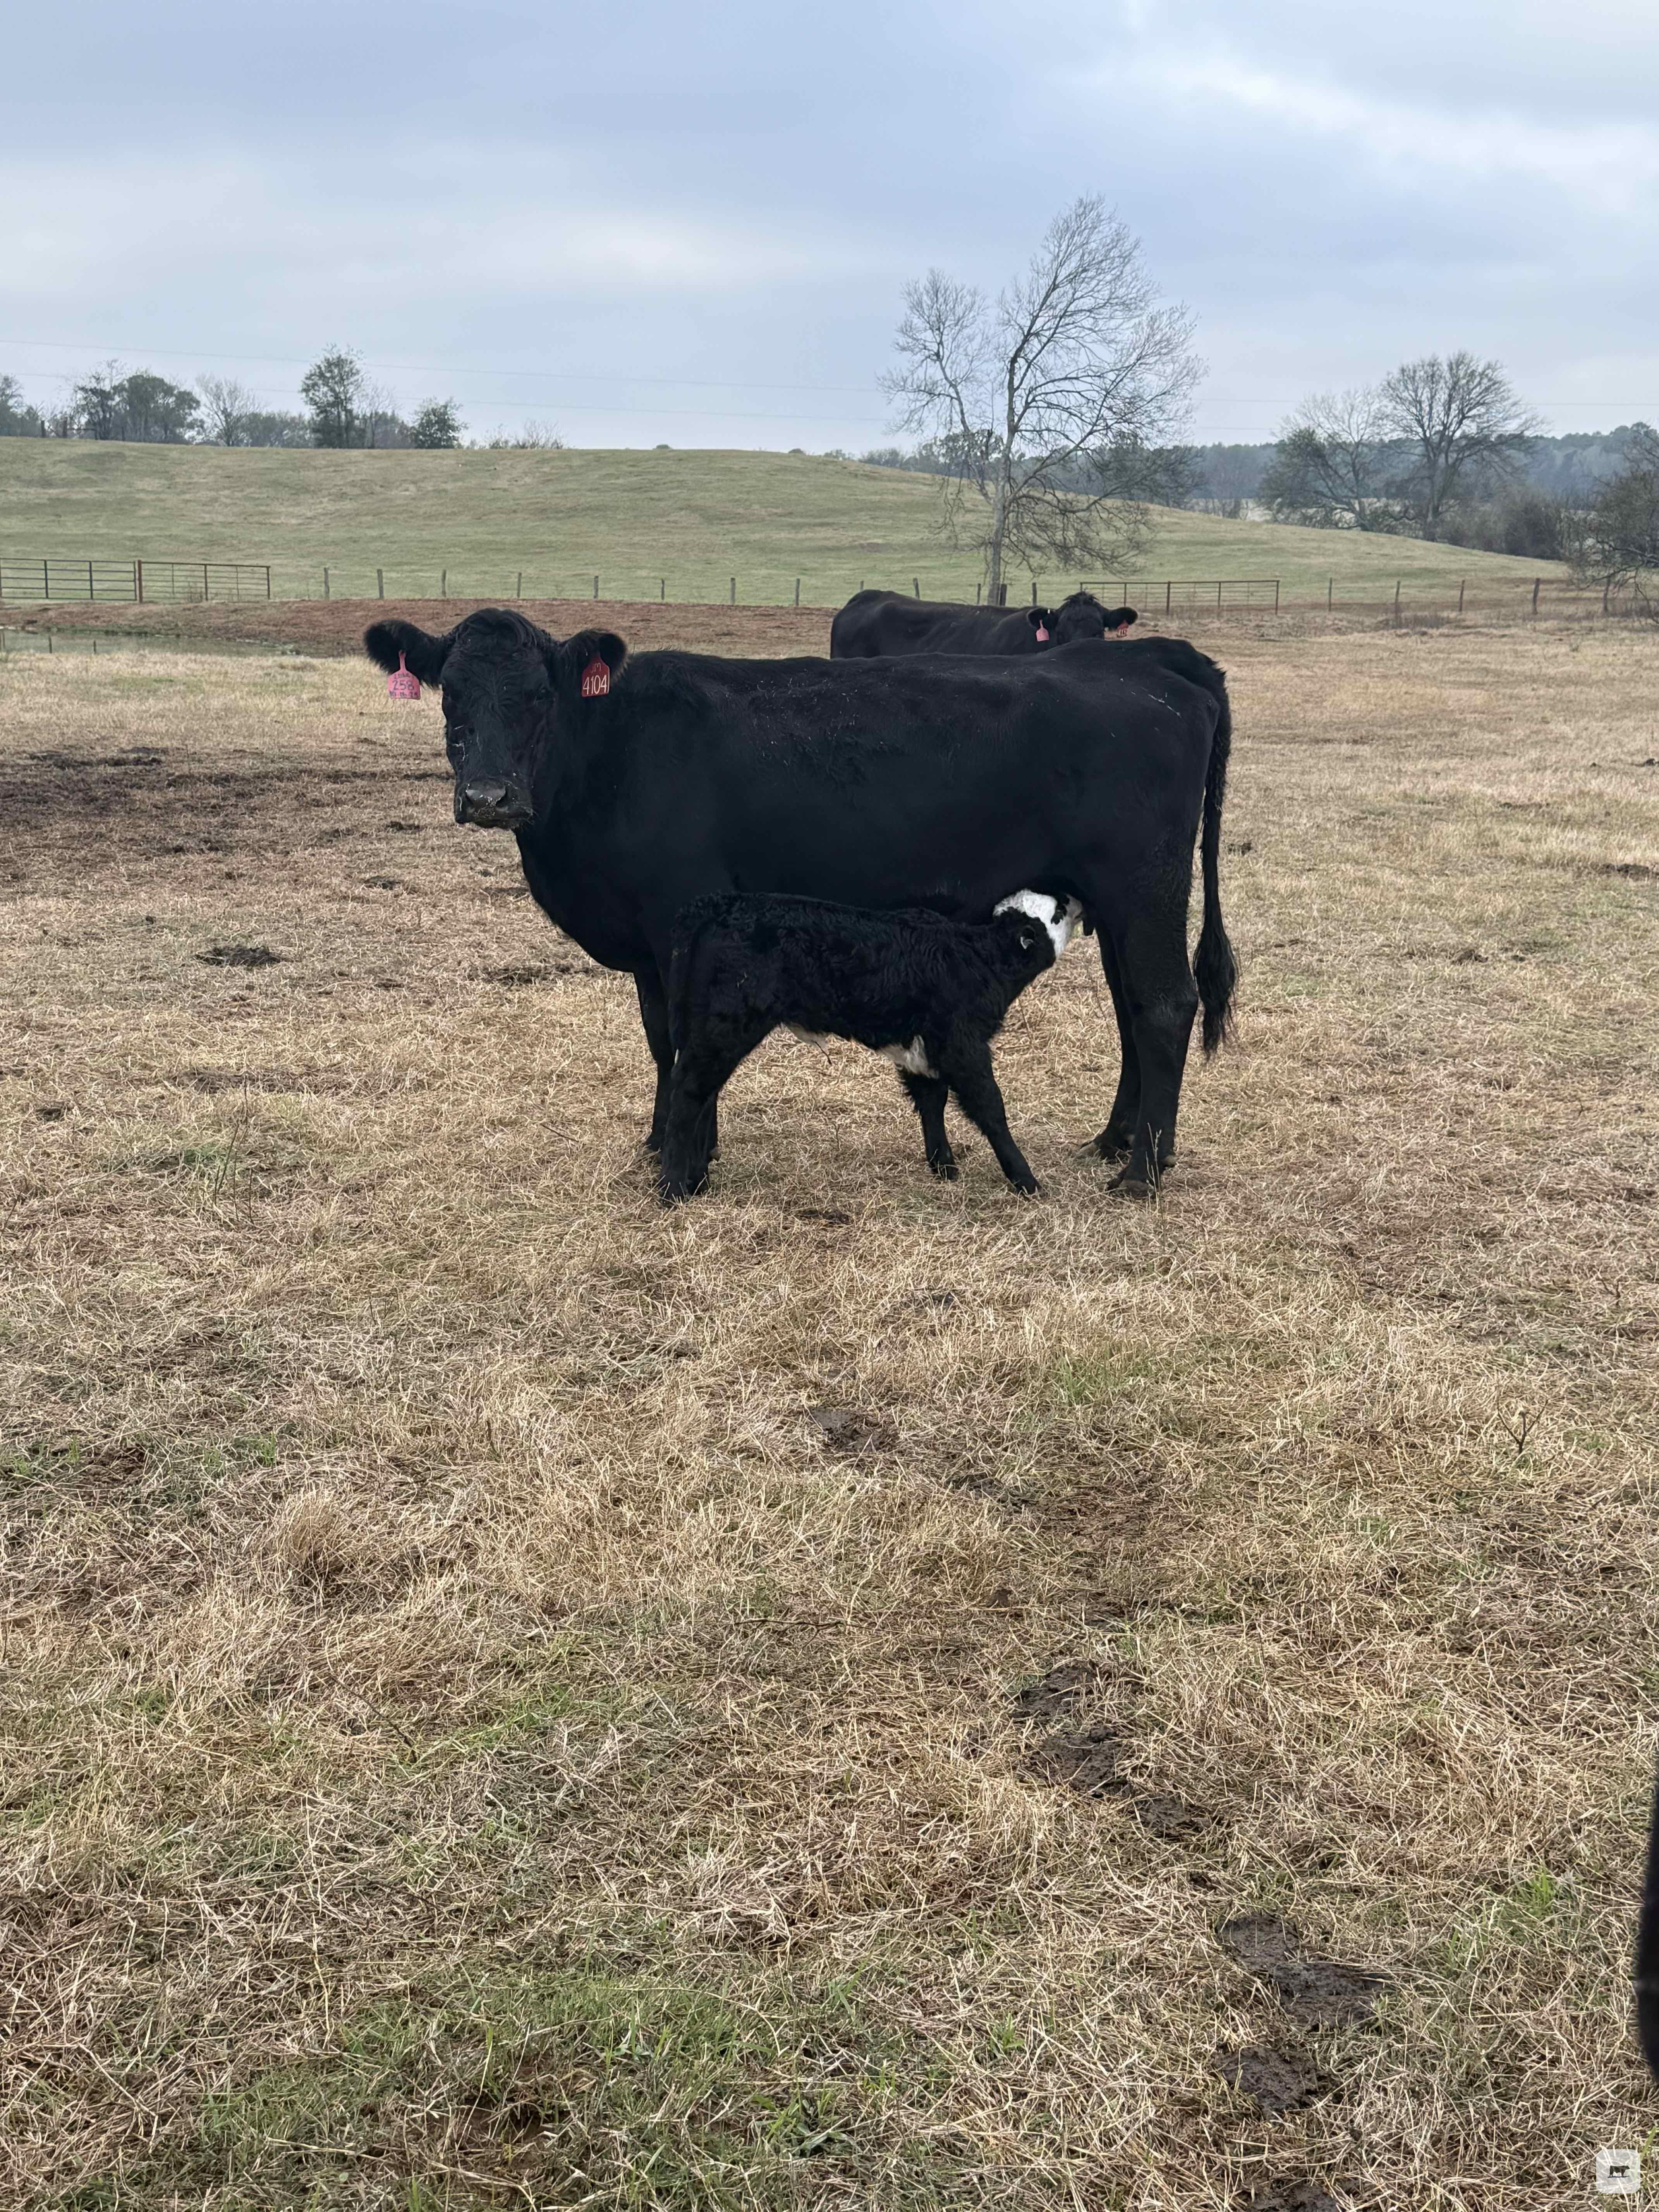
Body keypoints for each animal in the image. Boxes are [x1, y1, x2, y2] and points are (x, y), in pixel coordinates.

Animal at [660, 888, 1085, 1201]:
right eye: (1058, 912)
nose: (1074, 898)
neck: (977, 959)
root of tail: (718, 906)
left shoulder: (924, 1053)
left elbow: (932, 1102)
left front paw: (944, 1168)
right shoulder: (963, 1047)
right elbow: (991, 1109)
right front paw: (1026, 1180)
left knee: (702, 1093)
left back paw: (696, 1181)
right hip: (727, 1026)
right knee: (688, 1092)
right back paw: (673, 1188)